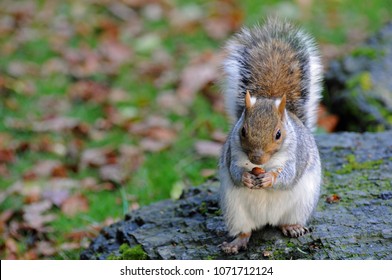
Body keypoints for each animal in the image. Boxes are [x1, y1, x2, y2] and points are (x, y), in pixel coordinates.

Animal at [217, 17, 322, 254]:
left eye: (278, 134)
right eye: (243, 130)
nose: (256, 159)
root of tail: (267, 220)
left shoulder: (295, 156)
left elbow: (288, 175)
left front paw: (270, 178)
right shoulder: (232, 154)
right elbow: (235, 172)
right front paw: (246, 177)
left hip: (301, 204)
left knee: (286, 221)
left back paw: (292, 227)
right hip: (235, 211)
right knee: (244, 230)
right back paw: (236, 243)